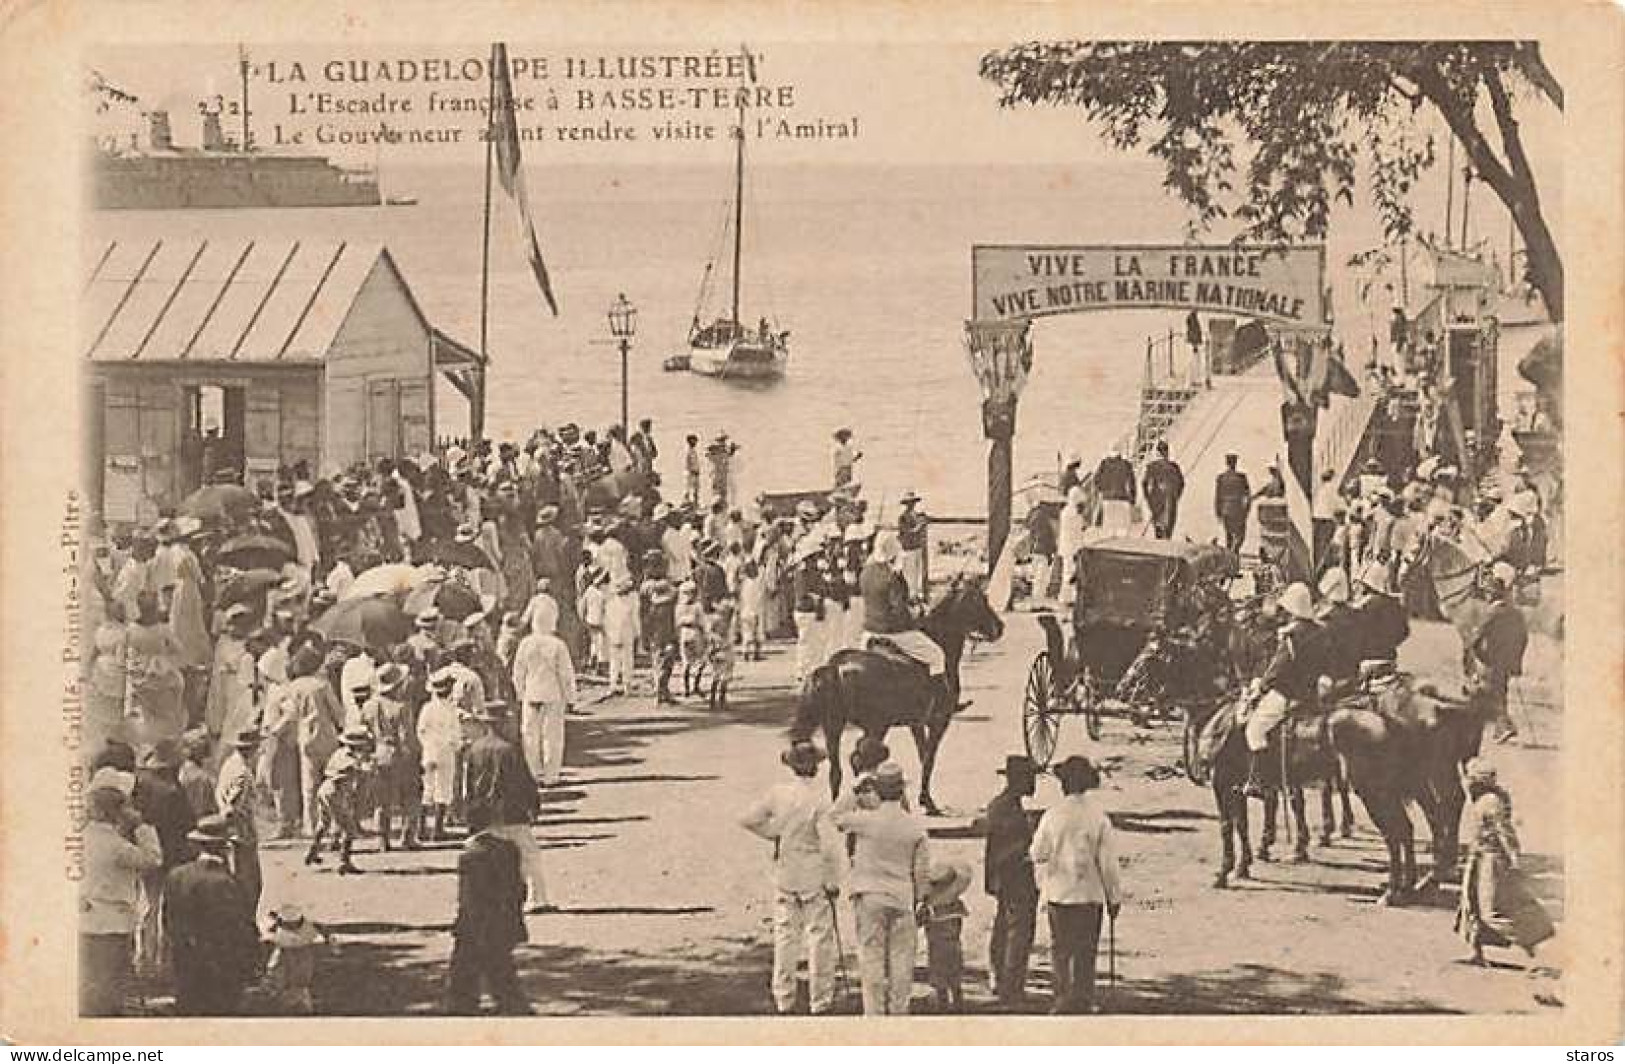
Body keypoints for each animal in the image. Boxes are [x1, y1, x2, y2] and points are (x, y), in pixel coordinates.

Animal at [789, 575, 1001, 815]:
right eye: (981, 600)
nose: (1000, 628)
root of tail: (835, 665)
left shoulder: (916, 723)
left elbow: (922, 755)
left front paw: (925, 800)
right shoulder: (938, 722)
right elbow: (929, 759)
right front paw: (928, 802)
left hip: (833, 725)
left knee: (837, 771)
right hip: (875, 726)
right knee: (860, 761)